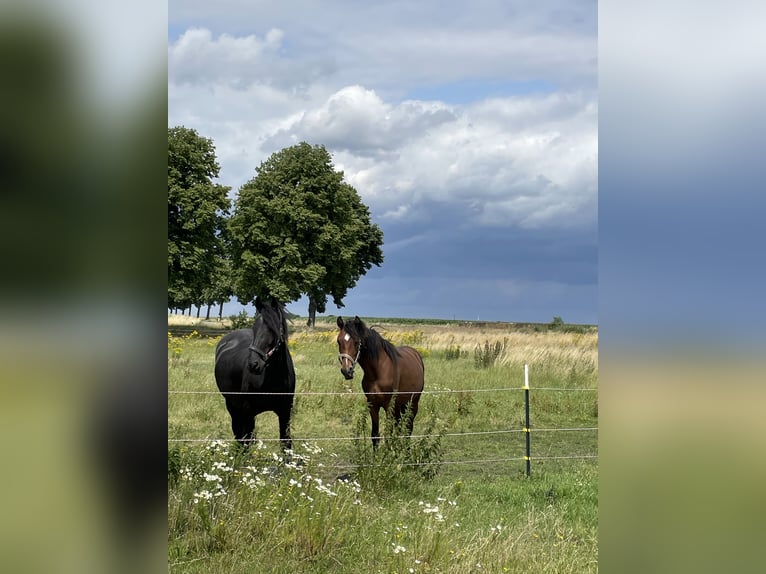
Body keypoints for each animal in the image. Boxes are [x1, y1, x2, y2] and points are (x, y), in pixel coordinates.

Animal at [214, 297, 295, 450]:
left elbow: (285, 443)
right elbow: (246, 441)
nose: (253, 364)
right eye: (254, 328)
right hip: (232, 404)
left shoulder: (285, 412)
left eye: (273, 328)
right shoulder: (248, 411)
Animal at [336, 315, 425, 449]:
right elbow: (375, 435)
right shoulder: (373, 404)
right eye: (339, 341)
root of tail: (416, 354)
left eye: (356, 342)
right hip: (399, 405)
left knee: (408, 428)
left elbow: (388, 433)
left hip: (413, 402)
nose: (347, 371)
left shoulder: (389, 405)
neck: (378, 371)